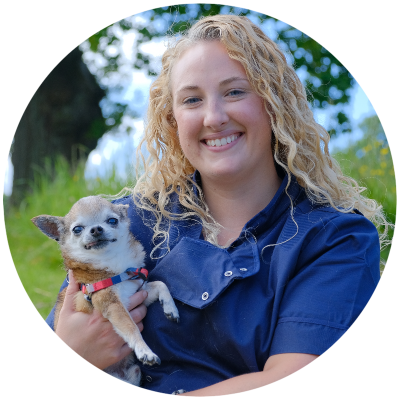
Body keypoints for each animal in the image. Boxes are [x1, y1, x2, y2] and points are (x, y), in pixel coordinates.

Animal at [32, 195, 180, 386]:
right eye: (77, 229)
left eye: (112, 220)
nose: (96, 229)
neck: (112, 265)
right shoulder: (112, 304)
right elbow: (130, 327)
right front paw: (145, 351)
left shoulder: (138, 291)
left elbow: (161, 284)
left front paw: (171, 308)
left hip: (133, 373)